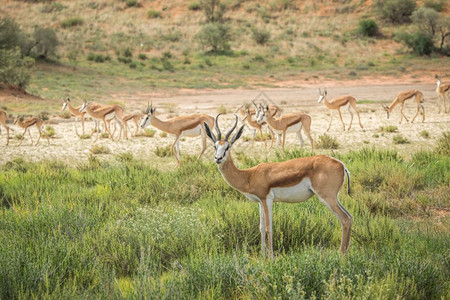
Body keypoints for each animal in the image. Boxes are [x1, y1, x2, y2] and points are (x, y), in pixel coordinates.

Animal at [205, 113, 356, 258]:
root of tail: (341, 165)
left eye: (227, 147)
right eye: (215, 146)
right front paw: (263, 257)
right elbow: (261, 228)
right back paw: (346, 252)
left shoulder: (267, 199)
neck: (249, 175)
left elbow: (268, 228)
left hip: (326, 197)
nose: (218, 158)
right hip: (334, 198)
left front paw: (270, 258)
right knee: (349, 217)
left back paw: (341, 255)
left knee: (344, 219)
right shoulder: (260, 202)